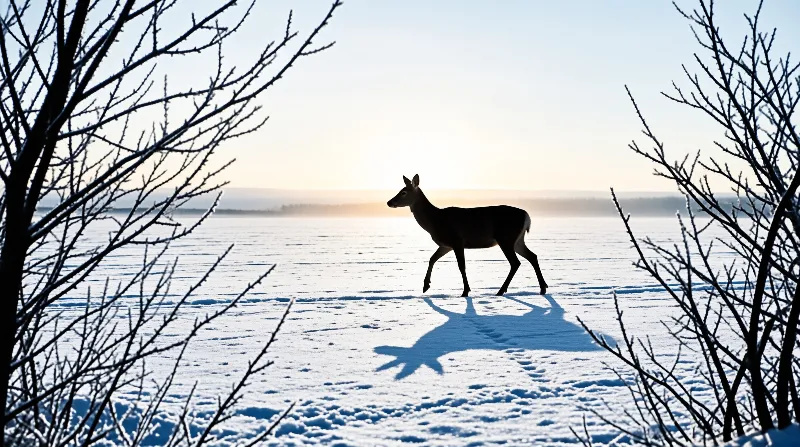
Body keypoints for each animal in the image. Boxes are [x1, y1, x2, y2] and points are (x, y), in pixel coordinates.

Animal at [387, 174, 548, 297]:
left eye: (403, 192)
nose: (389, 202)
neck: (435, 221)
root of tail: (527, 216)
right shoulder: (446, 245)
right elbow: (432, 259)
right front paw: (426, 286)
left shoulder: (457, 240)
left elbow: (461, 265)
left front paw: (465, 291)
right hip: (517, 240)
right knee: (532, 256)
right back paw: (543, 287)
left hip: (506, 238)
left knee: (515, 262)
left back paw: (501, 290)